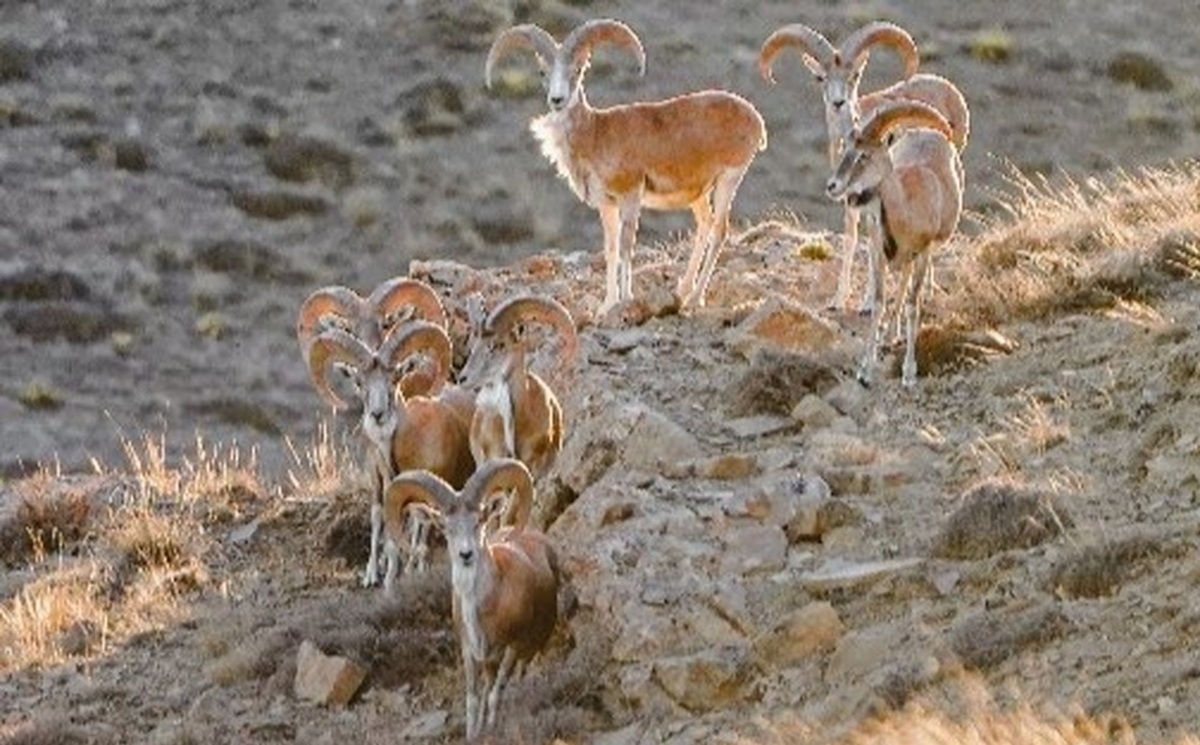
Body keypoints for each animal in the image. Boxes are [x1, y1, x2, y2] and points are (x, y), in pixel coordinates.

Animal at [384, 458, 556, 739]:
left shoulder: (511, 648)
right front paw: (474, 734)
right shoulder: (471, 654)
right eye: (446, 527)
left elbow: (496, 694)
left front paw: (492, 730)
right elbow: (474, 700)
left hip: (528, 650)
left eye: (480, 521)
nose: (466, 554)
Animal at [487, 17, 768, 314]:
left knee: (719, 231)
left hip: (728, 180)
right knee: (705, 225)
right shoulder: (607, 206)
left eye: (578, 69)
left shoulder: (631, 197)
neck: (596, 135)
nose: (557, 100)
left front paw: (626, 299)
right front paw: (607, 305)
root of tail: (755, 119)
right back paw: (682, 290)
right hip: (698, 195)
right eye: (542, 72)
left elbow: (625, 247)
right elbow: (610, 249)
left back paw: (695, 298)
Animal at [825, 100, 964, 386]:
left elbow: (913, 304)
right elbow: (879, 302)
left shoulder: (923, 253)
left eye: (864, 155)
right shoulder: (878, 253)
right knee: (900, 285)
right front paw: (865, 372)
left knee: (906, 287)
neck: (908, 211)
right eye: (847, 150)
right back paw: (889, 336)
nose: (832, 186)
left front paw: (909, 374)